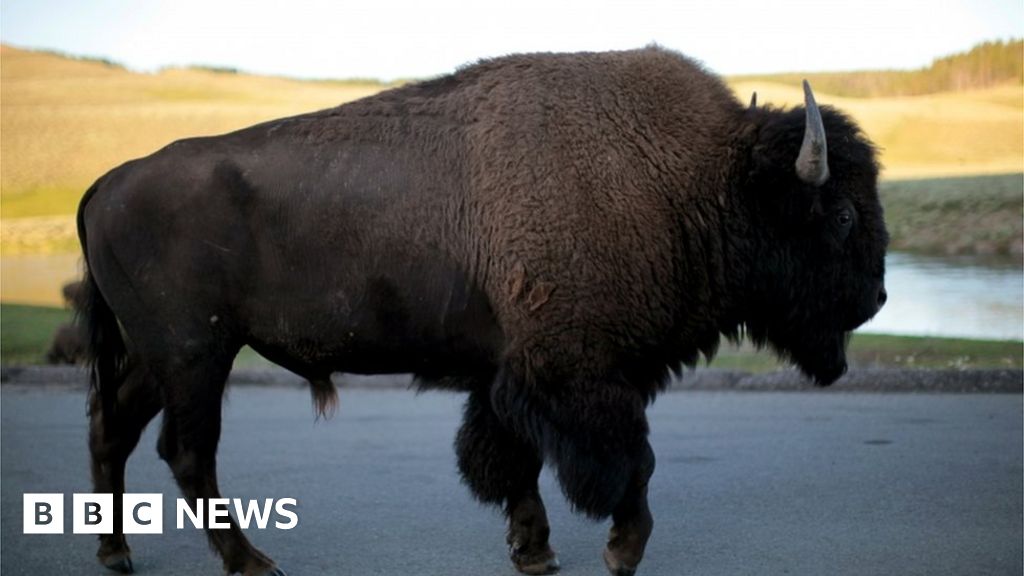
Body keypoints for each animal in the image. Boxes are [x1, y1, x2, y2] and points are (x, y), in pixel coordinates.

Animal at [75, 45, 888, 573]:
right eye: (844, 215)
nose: (878, 297)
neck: (694, 180)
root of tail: (106, 183)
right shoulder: (578, 375)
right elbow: (630, 461)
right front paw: (620, 550)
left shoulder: (507, 376)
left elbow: (510, 461)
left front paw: (535, 552)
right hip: (196, 357)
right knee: (187, 453)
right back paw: (251, 562)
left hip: (157, 359)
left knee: (115, 430)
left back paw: (116, 551)